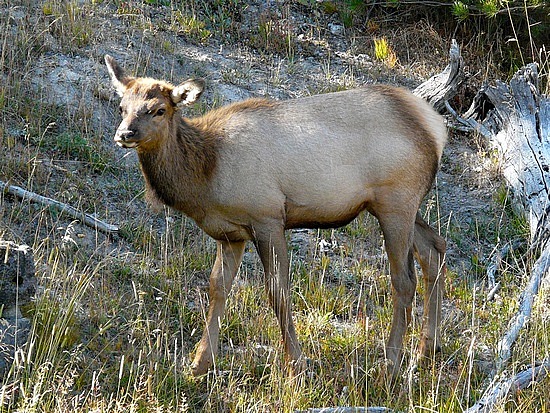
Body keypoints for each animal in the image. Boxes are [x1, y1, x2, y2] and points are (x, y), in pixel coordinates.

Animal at [104, 54, 448, 376]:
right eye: (122, 107)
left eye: (159, 109)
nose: (124, 134)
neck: (206, 173)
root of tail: (436, 128)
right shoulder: (230, 234)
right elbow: (217, 288)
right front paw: (200, 363)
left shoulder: (267, 217)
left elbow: (278, 292)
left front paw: (296, 365)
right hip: (397, 206)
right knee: (434, 249)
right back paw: (426, 352)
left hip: (396, 202)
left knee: (404, 280)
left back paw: (390, 365)